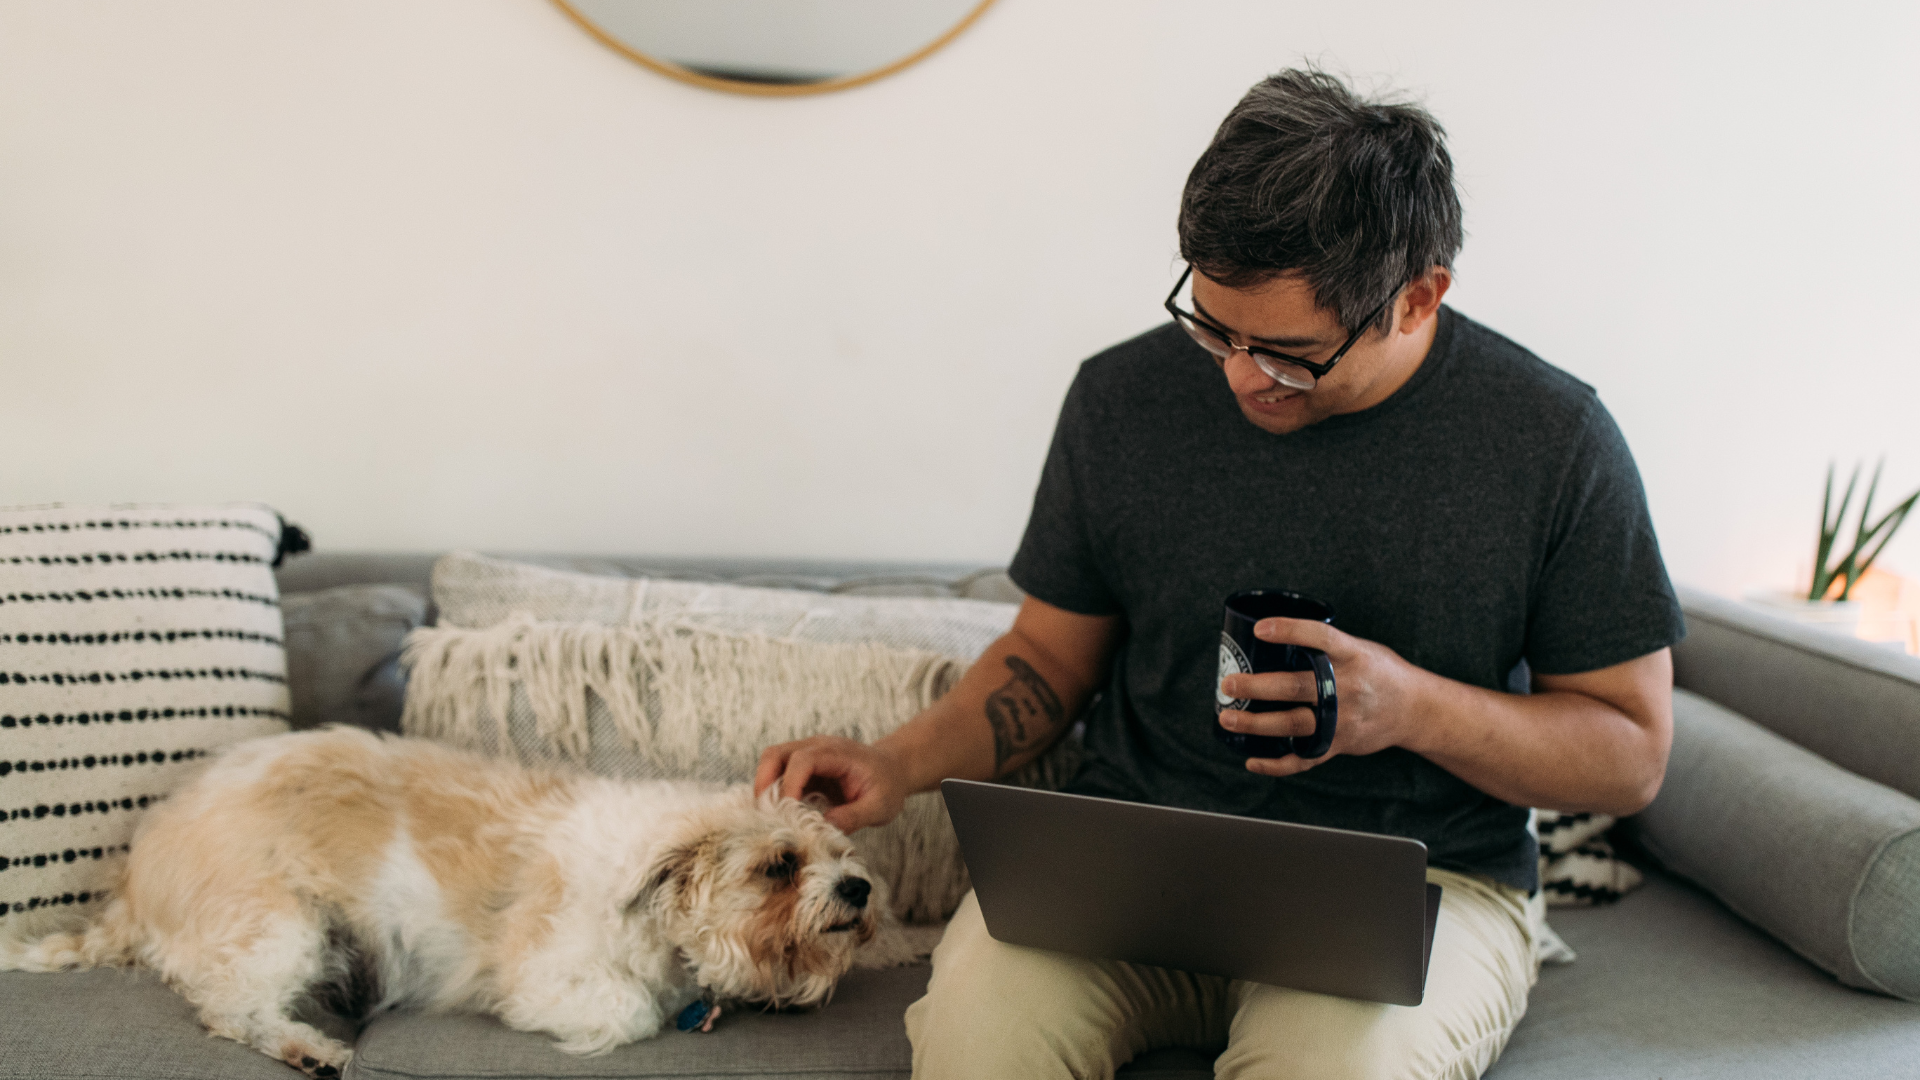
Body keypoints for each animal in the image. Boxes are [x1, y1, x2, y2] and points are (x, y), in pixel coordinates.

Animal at [0, 722, 879, 1068]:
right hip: (286, 925)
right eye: (778, 865)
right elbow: (630, 1011)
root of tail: (133, 877)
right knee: (227, 1005)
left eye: (839, 850)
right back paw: (310, 1049)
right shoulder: (544, 977)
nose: (862, 886)